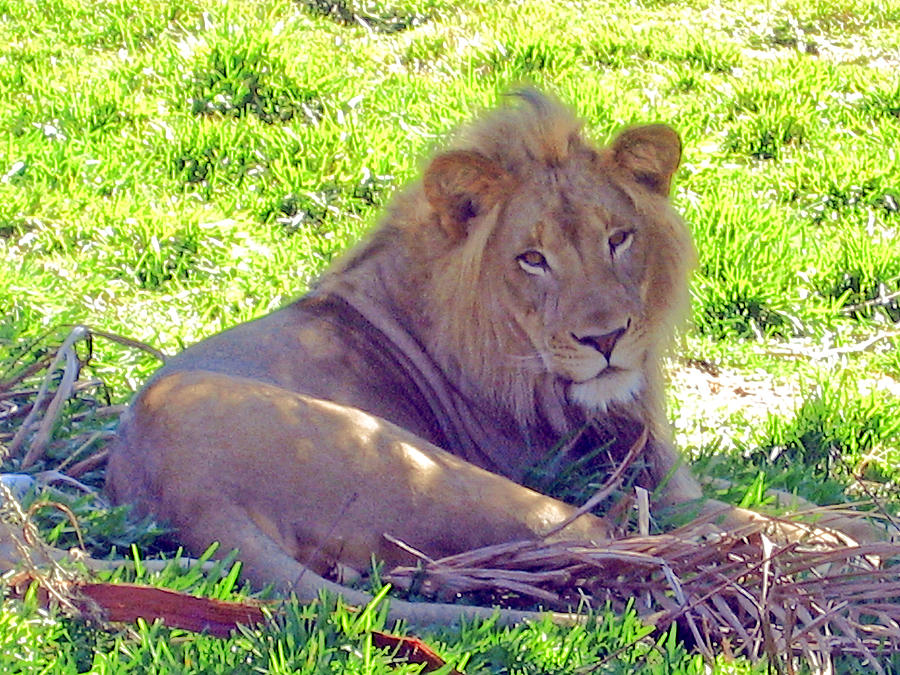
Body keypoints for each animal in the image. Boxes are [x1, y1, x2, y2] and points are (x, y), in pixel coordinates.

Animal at [107, 91, 872, 628]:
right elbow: (736, 512)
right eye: (532, 259)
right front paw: (839, 539)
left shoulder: (668, 469)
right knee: (628, 538)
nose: (606, 339)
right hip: (434, 467)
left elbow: (786, 495)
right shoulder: (599, 477)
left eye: (619, 238)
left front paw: (856, 517)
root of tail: (183, 492)